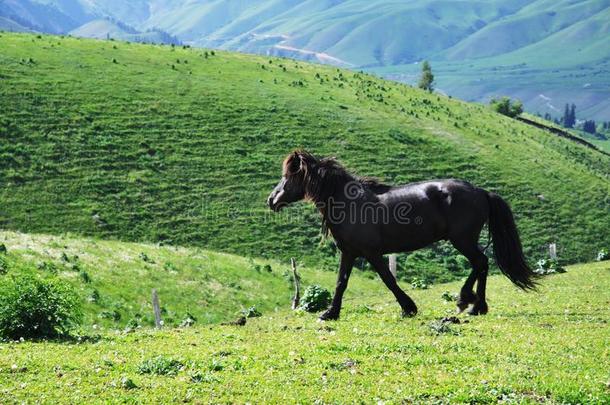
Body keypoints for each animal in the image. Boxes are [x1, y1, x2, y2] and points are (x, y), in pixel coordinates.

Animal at [264, 150, 532, 320]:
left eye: (287, 177)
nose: (271, 200)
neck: (350, 203)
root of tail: (481, 191)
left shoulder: (371, 253)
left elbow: (388, 280)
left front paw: (408, 308)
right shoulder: (349, 253)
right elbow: (341, 282)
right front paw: (330, 313)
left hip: (462, 240)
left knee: (481, 263)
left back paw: (468, 301)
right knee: (481, 265)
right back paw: (476, 306)